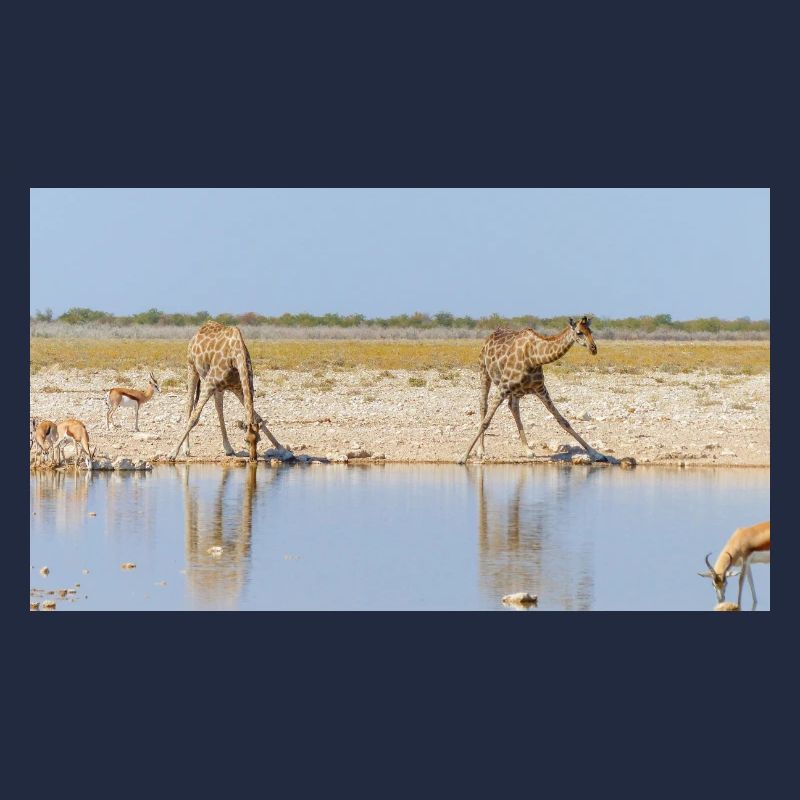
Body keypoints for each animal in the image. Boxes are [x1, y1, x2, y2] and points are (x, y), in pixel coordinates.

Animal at [168, 321, 285, 462]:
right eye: (245, 440)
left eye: (258, 440)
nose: (253, 459)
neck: (236, 356)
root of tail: (197, 332)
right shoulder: (209, 383)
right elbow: (194, 418)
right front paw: (172, 453)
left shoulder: (239, 388)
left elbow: (258, 417)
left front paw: (282, 448)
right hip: (192, 367)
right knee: (189, 405)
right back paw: (186, 449)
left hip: (219, 387)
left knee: (219, 408)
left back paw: (228, 448)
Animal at [458, 316, 609, 464]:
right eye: (579, 332)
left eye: (591, 331)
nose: (593, 349)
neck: (534, 357)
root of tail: (491, 335)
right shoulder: (503, 387)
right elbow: (485, 422)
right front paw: (463, 456)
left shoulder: (541, 389)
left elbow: (563, 421)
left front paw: (597, 454)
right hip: (484, 373)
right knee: (483, 405)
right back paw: (481, 450)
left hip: (516, 391)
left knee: (513, 407)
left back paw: (527, 450)